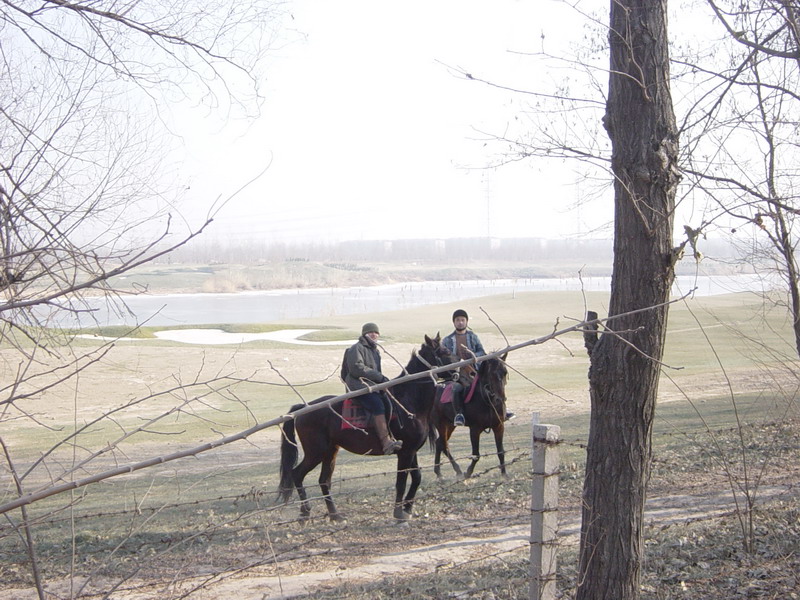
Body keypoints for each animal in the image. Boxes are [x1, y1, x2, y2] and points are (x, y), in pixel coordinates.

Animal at [278, 336, 454, 524]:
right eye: (445, 352)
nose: (464, 370)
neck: (408, 401)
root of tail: (302, 408)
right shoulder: (405, 452)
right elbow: (401, 482)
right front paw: (398, 513)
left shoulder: (411, 450)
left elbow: (417, 478)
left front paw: (407, 509)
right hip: (316, 452)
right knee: (297, 474)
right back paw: (305, 513)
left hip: (330, 451)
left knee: (324, 481)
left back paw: (335, 515)